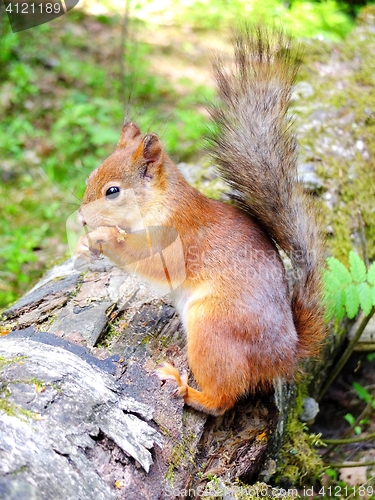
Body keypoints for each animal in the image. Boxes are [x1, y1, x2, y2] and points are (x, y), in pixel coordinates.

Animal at [76, 26, 326, 418]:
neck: (161, 203)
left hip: (213, 329)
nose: (83, 219)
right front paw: (84, 244)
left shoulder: (177, 238)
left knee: (223, 399)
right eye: (90, 177)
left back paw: (184, 388)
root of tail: (283, 355)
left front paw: (103, 238)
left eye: (112, 191)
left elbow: (147, 261)